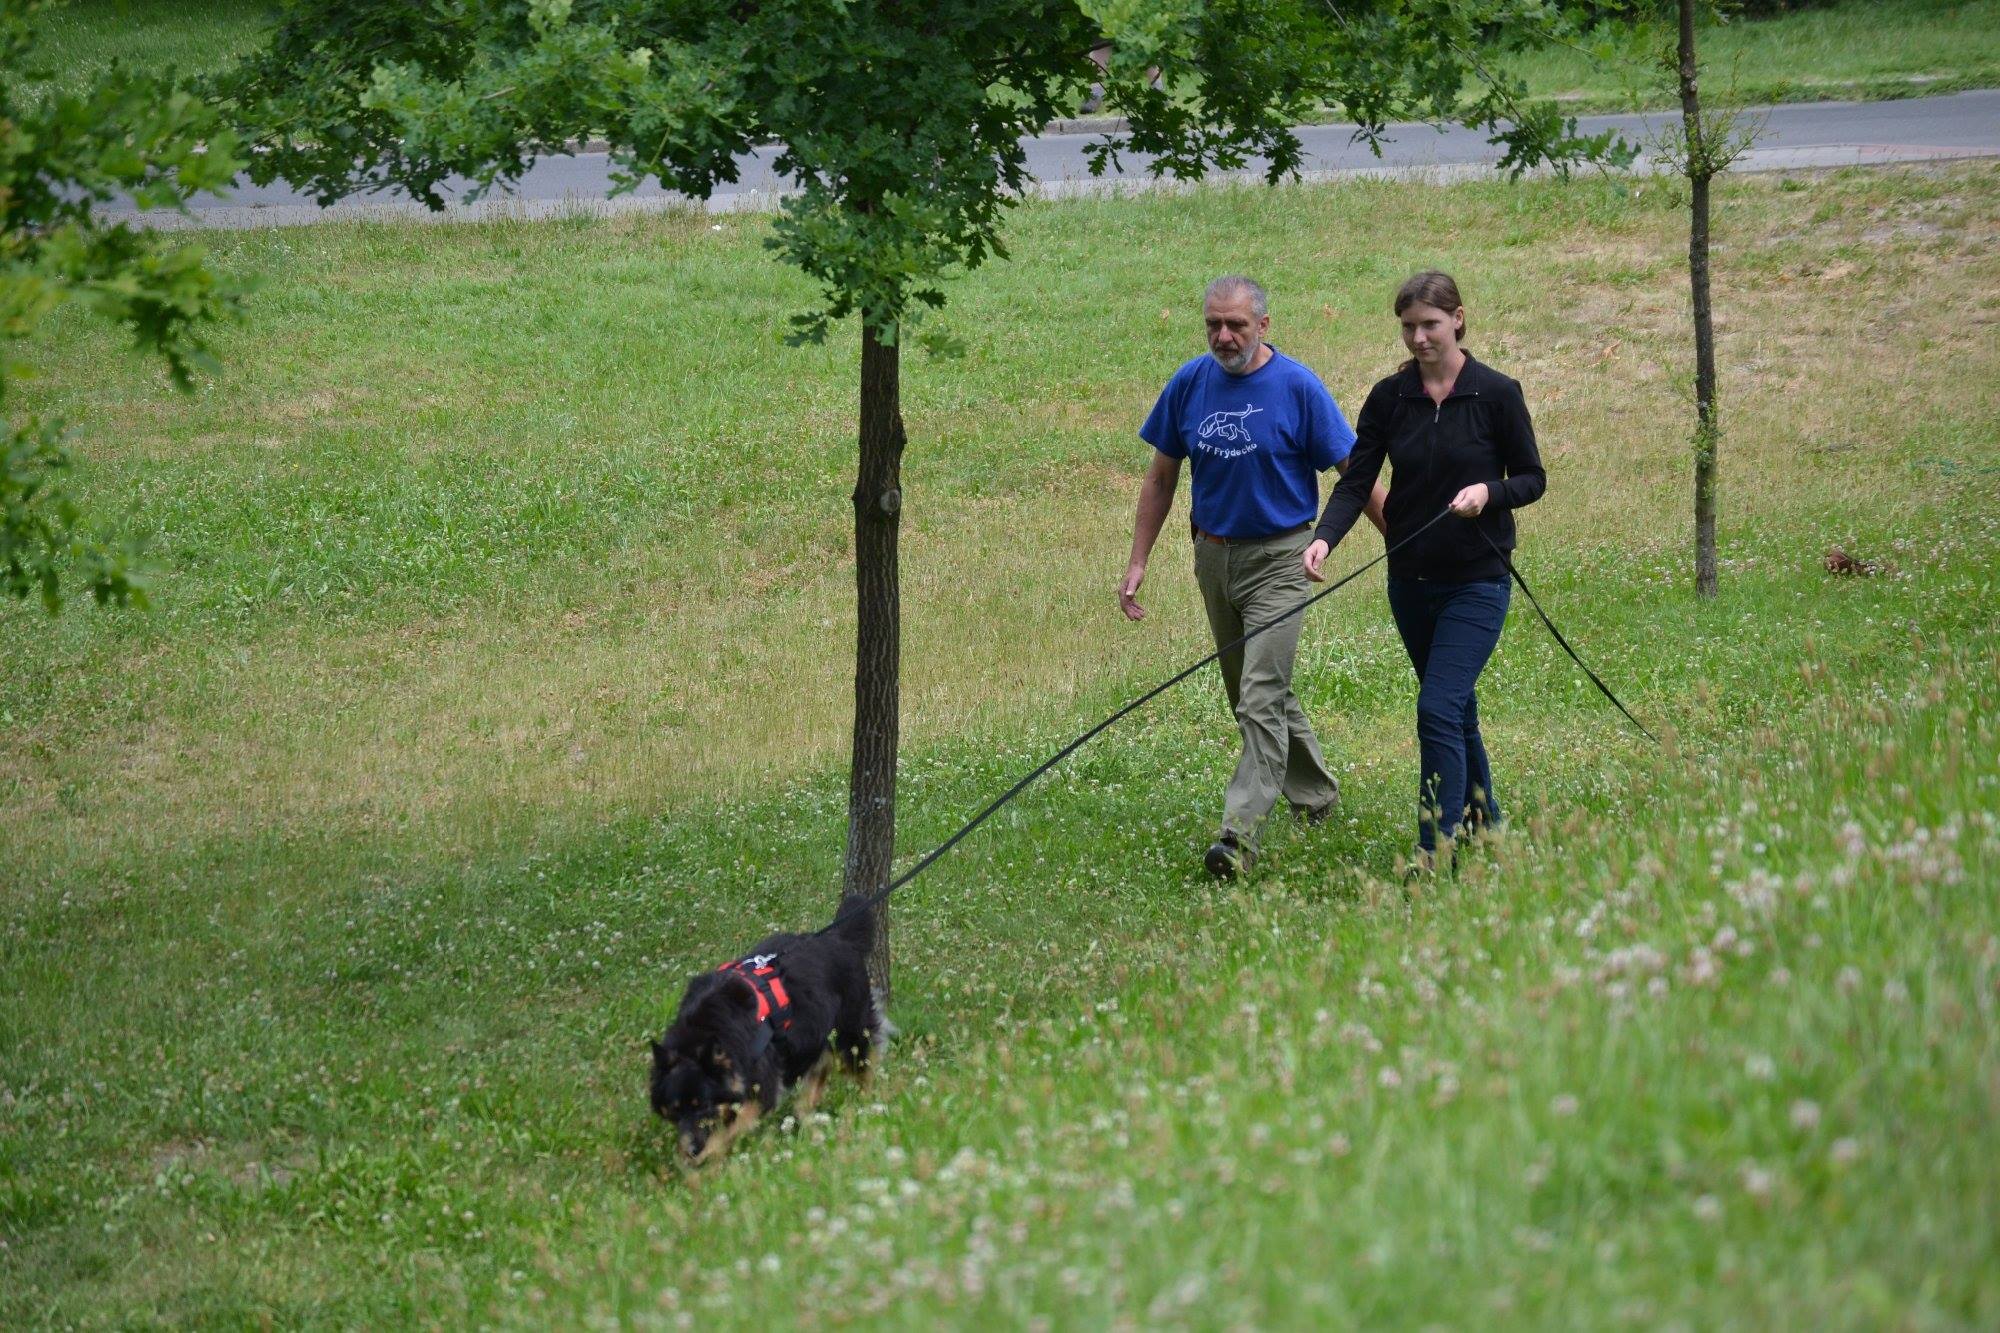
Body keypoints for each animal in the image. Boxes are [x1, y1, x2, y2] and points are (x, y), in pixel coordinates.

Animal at [652, 896, 888, 1160]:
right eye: (675, 1111)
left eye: (702, 1105)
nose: (692, 1151)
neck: (703, 1029)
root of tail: (839, 937)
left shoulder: (759, 1091)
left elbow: (728, 1130)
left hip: (851, 1038)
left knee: (863, 1071)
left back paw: (866, 1108)